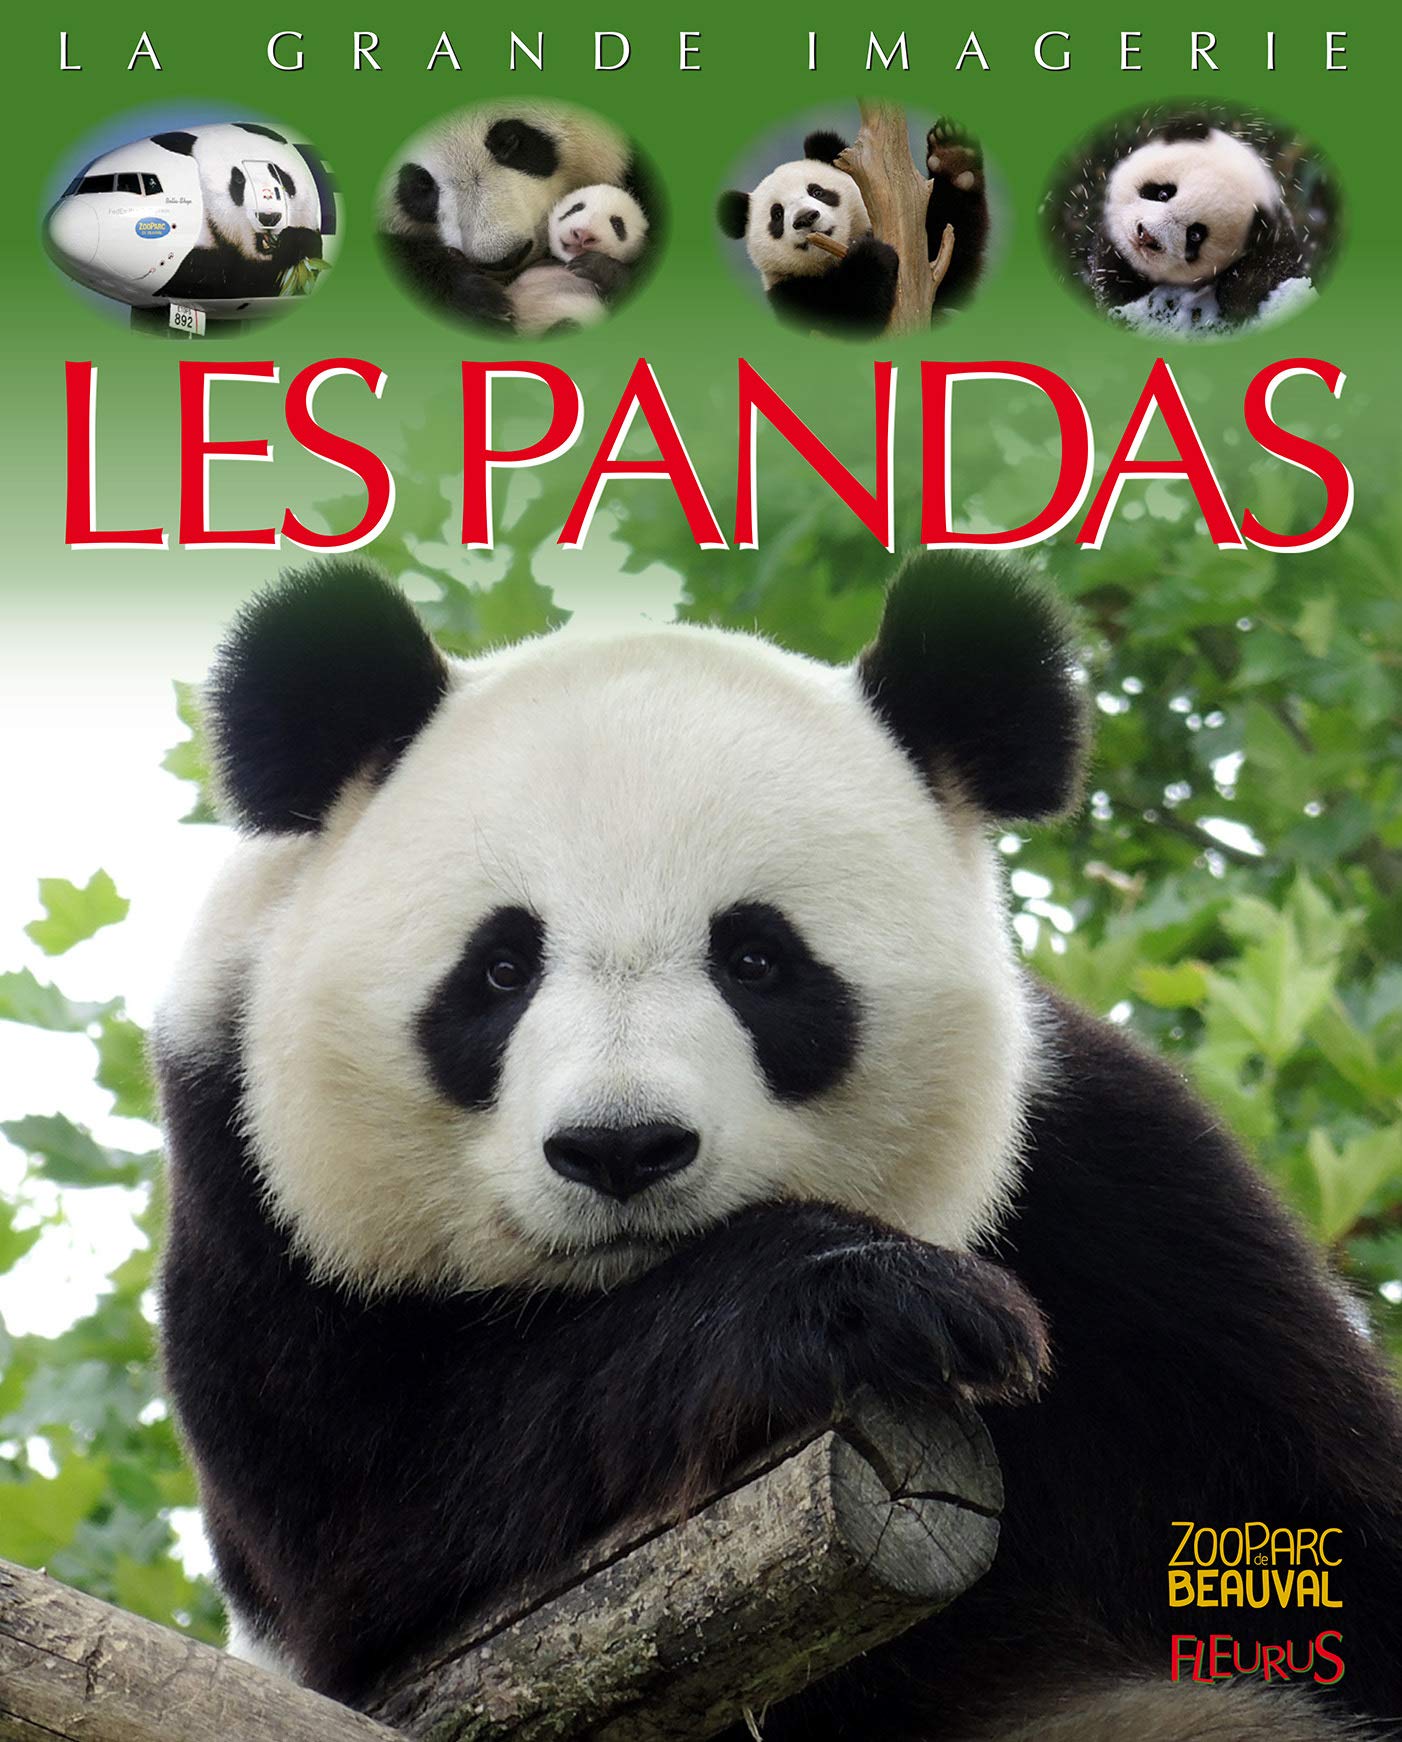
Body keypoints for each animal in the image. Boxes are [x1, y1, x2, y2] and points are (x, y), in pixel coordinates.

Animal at [154, 556, 1402, 1740]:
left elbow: (1318, 1501)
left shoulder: (1130, 1213)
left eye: (757, 958)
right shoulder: (250, 1197)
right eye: (500, 969)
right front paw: (870, 1296)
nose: (621, 1147)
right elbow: (389, 1505)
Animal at [717, 124, 988, 338]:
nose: (806, 218)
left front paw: (953, 156)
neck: (832, 260)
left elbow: (950, 266)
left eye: (817, 191)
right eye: (777, 214)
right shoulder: (790, 295)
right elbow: (849, 317)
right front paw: (872, 255)